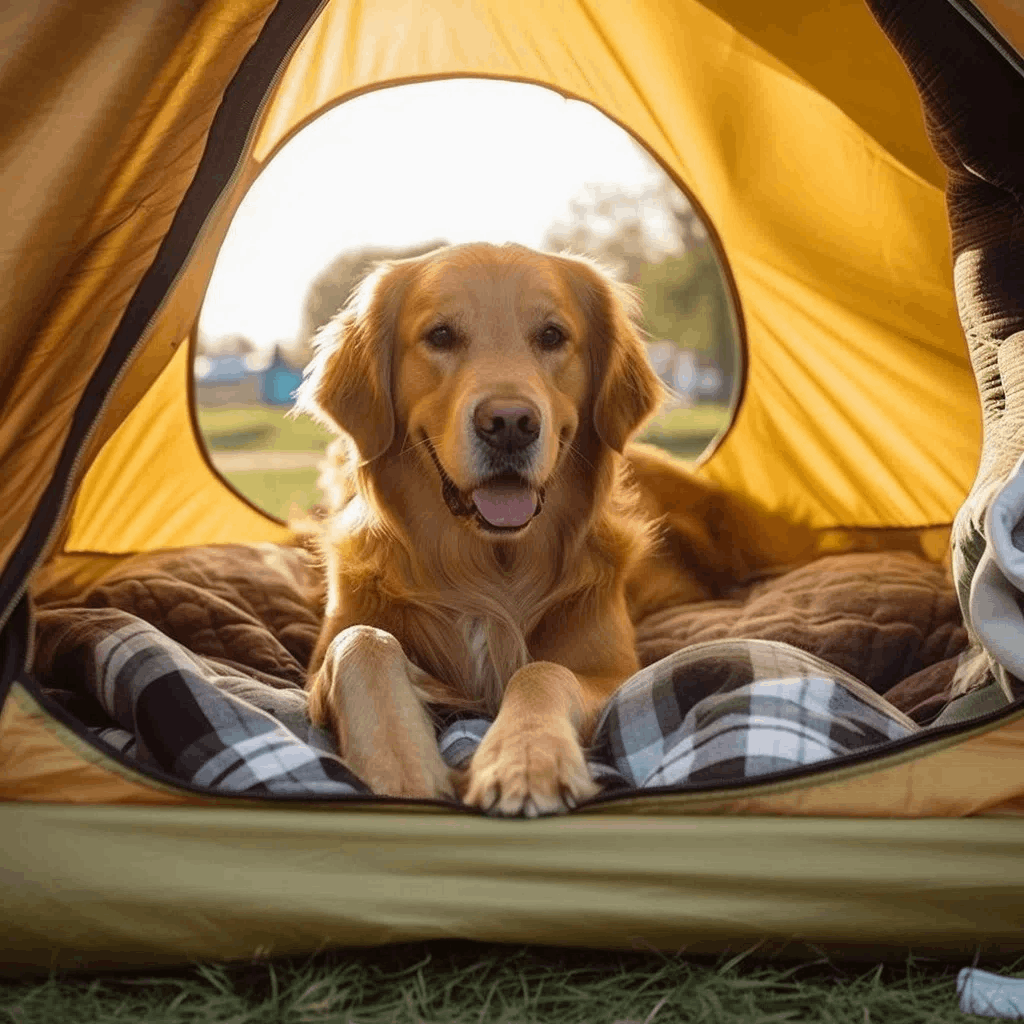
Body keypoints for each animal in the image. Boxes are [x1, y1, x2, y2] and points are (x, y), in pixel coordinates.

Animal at [292, 241, 667, 815]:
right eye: (440, 335)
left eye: (552, 336)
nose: (509, 424)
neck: (489, 565)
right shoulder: (319, 666)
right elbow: (362, 644)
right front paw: (403, 773)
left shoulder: (615, 671)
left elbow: (542, 670)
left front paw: (527, 761)